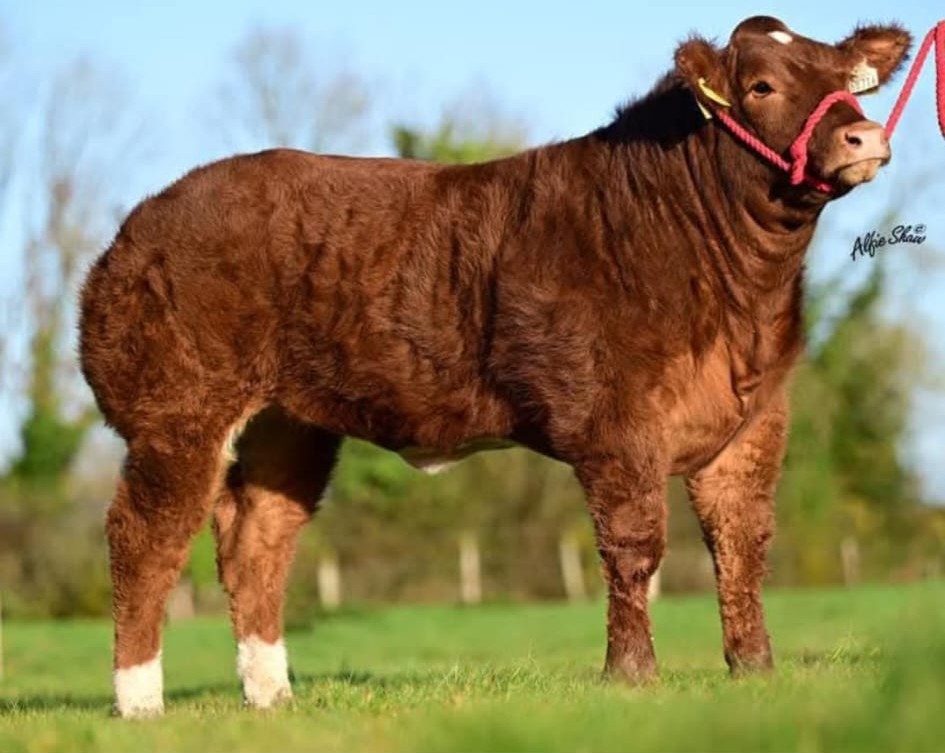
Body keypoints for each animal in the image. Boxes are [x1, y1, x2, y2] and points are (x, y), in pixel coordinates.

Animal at [79, 16, 911, 717]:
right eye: (762, 86)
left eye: (848, 78)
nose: (863, 136)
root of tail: (141, 222)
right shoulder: (614, 418)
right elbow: (634, 547)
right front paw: (631, 675)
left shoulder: (754, 420)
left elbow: (740, 546)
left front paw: (754, 669)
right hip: (178, 407)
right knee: (144, 537)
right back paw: (139, 700)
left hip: (288, 425)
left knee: (257, 542)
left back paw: (271, 695)